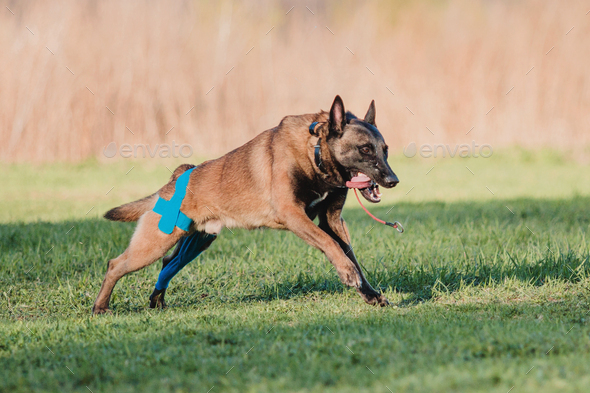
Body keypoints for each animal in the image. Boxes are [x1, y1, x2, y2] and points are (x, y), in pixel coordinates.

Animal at [92, 95, 400, 312]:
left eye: (385, 150)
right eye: (365, 149)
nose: (393, 179)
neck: (314, 153)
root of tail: (177, 178)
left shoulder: (332, 220)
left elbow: (350, 255)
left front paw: (369, 294)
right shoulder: (293, 215)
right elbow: (331, 246)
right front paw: (348, 273)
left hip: (196, 242)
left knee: (168, 263)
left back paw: (156, 301)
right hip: (155, 242)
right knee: (115, 265)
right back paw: (100, 307)